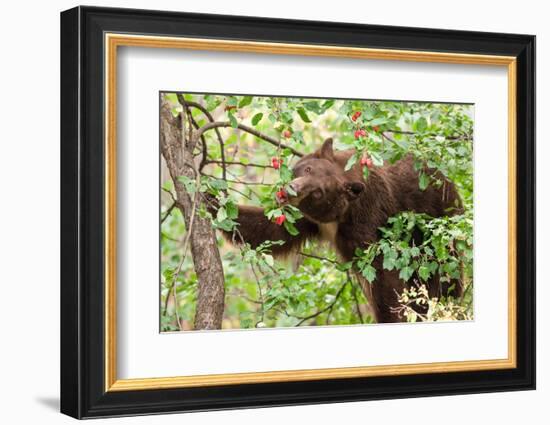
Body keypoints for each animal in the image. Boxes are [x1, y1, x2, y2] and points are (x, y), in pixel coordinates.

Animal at [213, 138, 464, 322]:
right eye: (307, 168)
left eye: (318, 192)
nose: (291, 190)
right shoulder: (307, 219)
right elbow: (272, 231)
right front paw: (213, 200)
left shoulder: (367, 216)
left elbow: (381, 271)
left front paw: (390, 316)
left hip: (438, 226)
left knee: (443, 276)